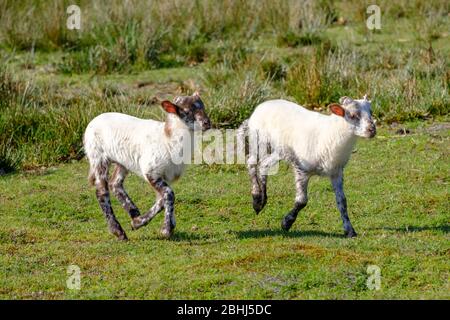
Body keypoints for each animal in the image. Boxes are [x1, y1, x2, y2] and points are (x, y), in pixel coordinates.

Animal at [83, 92, 211, 240]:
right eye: (186, 111)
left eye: (203, 107)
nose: (207, 123)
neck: (168, 139)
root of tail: (94, 120)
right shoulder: (151, 171)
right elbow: (169, 194)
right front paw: (166, 229)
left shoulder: (166, 174)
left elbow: (162, 200)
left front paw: (138, 222)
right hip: (98, 156)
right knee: (102, 192)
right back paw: (118, 231)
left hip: (123, 161)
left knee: (115, 183)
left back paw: (133, 212)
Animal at [239, 95, 376, 238]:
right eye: (353, 115)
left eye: (371, 112)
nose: (372, 130)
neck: (331, 134)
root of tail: (261, 106)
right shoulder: (301, 169)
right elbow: (302, 201)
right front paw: (286, 223)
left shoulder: (337, 172)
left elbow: (342, 202)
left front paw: (349, 230)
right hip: (259, 141)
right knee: (251, 163)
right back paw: (256, 199)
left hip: (279, 150)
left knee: (264, 165)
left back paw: (262, 201)